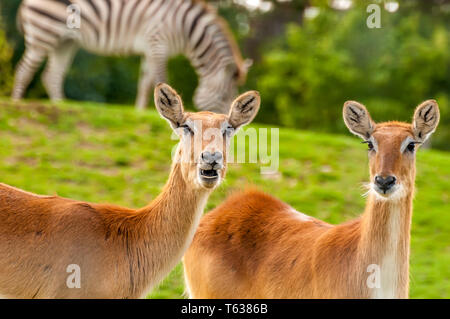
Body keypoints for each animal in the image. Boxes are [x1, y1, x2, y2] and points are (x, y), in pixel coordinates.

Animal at [12, 0, 251, 113]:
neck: (187, 28)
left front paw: (140, 111)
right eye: (224, 98)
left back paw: (61, 104)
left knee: (51, 75)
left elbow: (145, 82)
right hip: (43, 32)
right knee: (24, 70)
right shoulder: (158, 42)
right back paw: (16, 102)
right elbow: (161, 79)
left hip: (65, 41)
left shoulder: (150, 48)